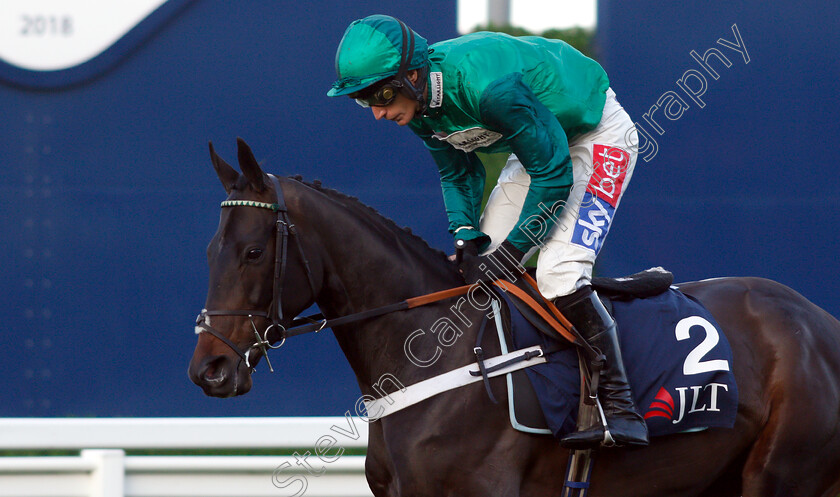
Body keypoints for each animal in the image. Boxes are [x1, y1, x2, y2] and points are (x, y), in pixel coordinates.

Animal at [189, 138, 840, 494]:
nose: (209, 369)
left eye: (252, 252)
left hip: (783, 473)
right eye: (209, 250)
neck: (434, 354)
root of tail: (820, 323)